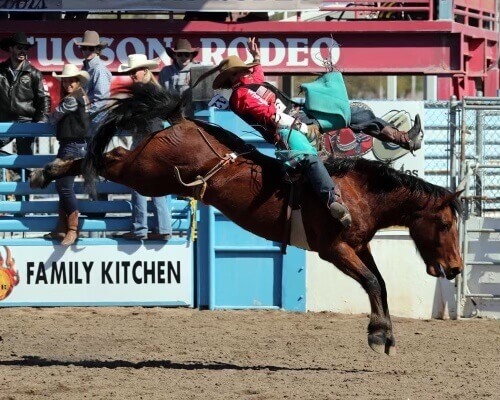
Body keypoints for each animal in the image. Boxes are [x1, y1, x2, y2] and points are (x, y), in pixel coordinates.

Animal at [29, 84, 462, 356]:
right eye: (445, 224)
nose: (457, 268)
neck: (359, 192)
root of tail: (183, 120)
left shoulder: (359, 246)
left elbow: (381, 283)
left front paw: (386, 335)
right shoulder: (334, 249)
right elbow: (372, 282)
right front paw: (377, 335)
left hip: (147, 174)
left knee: (111, 156)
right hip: (147, 175)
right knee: (108, 160)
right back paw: (48, 171)